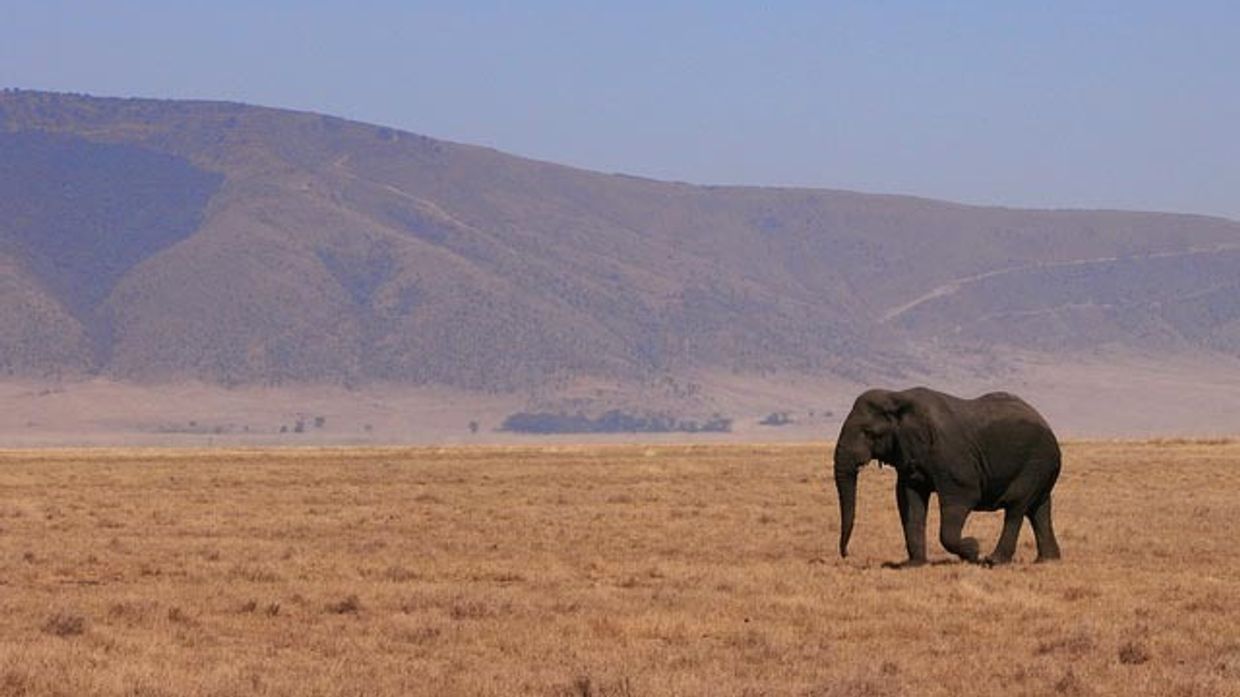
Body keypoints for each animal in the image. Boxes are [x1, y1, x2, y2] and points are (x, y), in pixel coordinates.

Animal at [833, 387, 1062, 566]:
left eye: (868, 433)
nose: (846, 554)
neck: (897, 397)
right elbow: (909, 500)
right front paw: (913, 565)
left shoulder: (951, 454)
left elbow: (963, 496)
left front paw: (973, 549)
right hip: (1043, 467)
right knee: (1038, 509)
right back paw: (1047, 560)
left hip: (1036, 461)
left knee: (1016, 506)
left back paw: (993, 561)